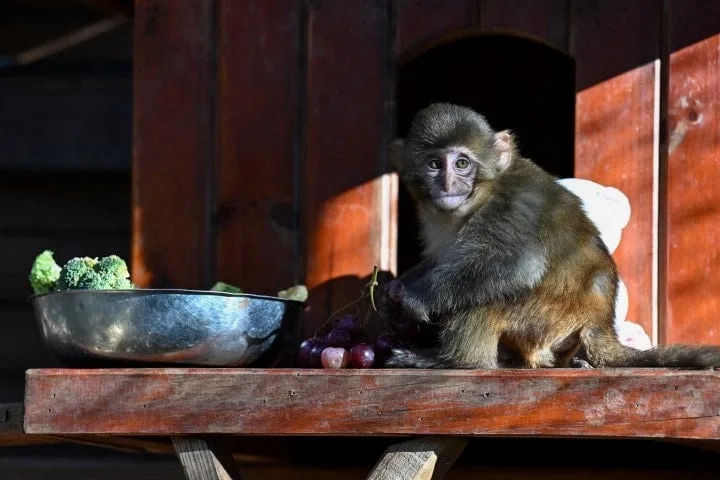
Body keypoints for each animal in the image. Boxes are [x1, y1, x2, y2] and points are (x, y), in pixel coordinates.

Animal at [376, 103, 720, 370]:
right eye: (435, 164)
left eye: (462, 163)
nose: (447, 184)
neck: (477, 199)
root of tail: (600, 320)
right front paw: (391, 291)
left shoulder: (508, 208)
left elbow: (517, 266)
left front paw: (414, 296)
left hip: (544, 317)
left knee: (486, 293)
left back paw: (456, 361)